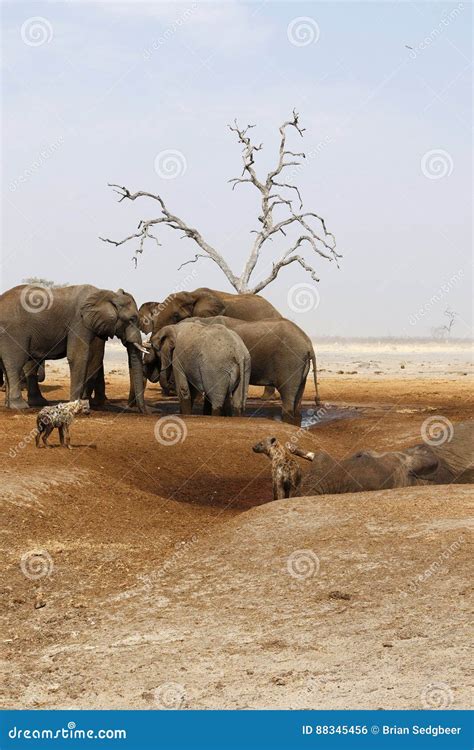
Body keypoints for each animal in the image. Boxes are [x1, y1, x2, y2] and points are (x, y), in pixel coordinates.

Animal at [0, 284, 148, 412]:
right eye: (132, 319)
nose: (145, 412)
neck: (107, 294)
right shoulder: (79, 322)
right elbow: (78, 356)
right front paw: (77, 407)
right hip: (13, 332)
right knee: (15, 364)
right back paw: (20, 406)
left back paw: (11, 405)